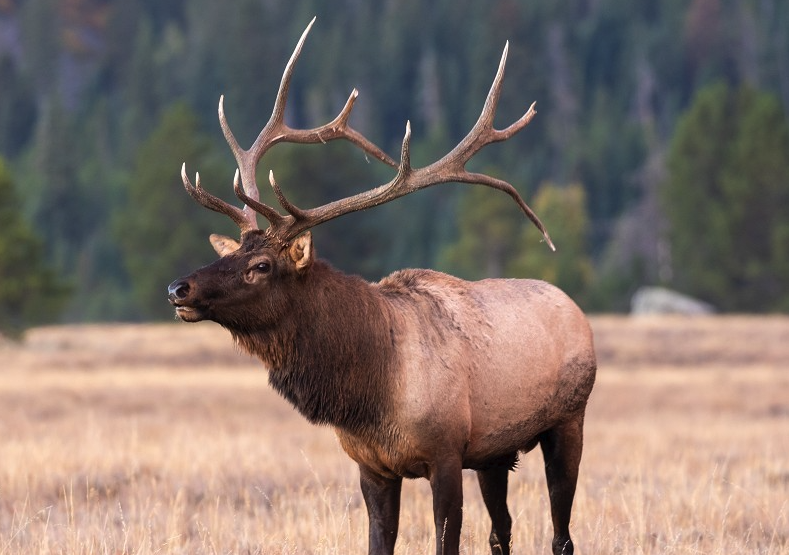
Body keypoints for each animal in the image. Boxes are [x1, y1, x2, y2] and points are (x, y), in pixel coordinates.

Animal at [168, 18, 596, 555]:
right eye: (230, 254)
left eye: (261, 265)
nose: (179, 288)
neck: (370, 393)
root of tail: (575, 309)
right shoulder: (372, 466)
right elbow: (379, 543)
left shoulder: (446, 454)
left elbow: (447, 541)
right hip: (496, 454)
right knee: (502, 531)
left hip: (569, 419)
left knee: (562, 534)